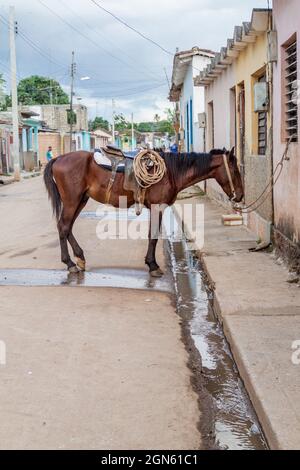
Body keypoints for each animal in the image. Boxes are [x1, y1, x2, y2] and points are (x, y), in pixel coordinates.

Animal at [42, 149, 244, 278]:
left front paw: (150, 263)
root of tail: (58, 159)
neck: (170, 172)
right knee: (63, 226)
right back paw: (70, 263)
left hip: (80, 201)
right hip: (72, 201)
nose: (240, 195)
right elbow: (153, 236)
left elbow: (151, 236)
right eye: (235, 170)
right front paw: (153, 265)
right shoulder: (157, 207)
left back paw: (80, 259)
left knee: (67, 227)